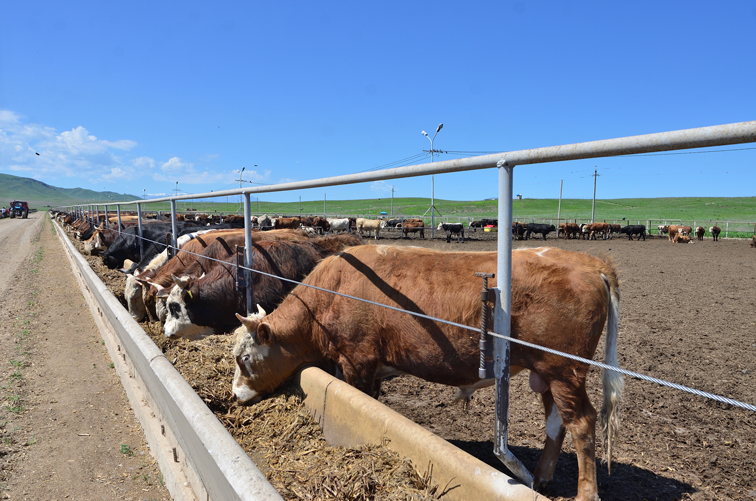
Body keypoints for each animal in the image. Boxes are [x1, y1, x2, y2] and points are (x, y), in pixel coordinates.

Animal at [233, 245, 624, 500]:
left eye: (245, 359)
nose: (235, 395)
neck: (332, 292)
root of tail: (591, 263)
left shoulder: (357, 359)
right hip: (546, 373)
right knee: (557, 422)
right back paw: (541, 477)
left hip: (564, 370)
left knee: (582, 423)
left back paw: (585, 494)